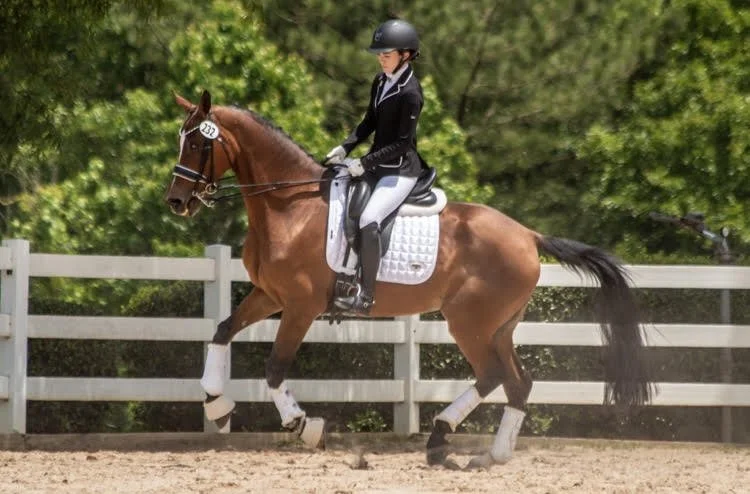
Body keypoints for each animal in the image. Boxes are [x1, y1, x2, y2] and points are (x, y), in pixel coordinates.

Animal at [165, 90, 652, 469]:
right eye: (181, 140)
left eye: (199, 143)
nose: (176, 201)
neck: (290, 205)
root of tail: (528, 234)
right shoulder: (270, 294)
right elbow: (222, 330)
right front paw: (217, 405)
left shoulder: (301, 306)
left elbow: (273, 368)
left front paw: (306, 426)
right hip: (499, 326)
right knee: (517, 382)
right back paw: (489, 454)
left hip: (470, 322)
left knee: (493, 375)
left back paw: (440, 438)